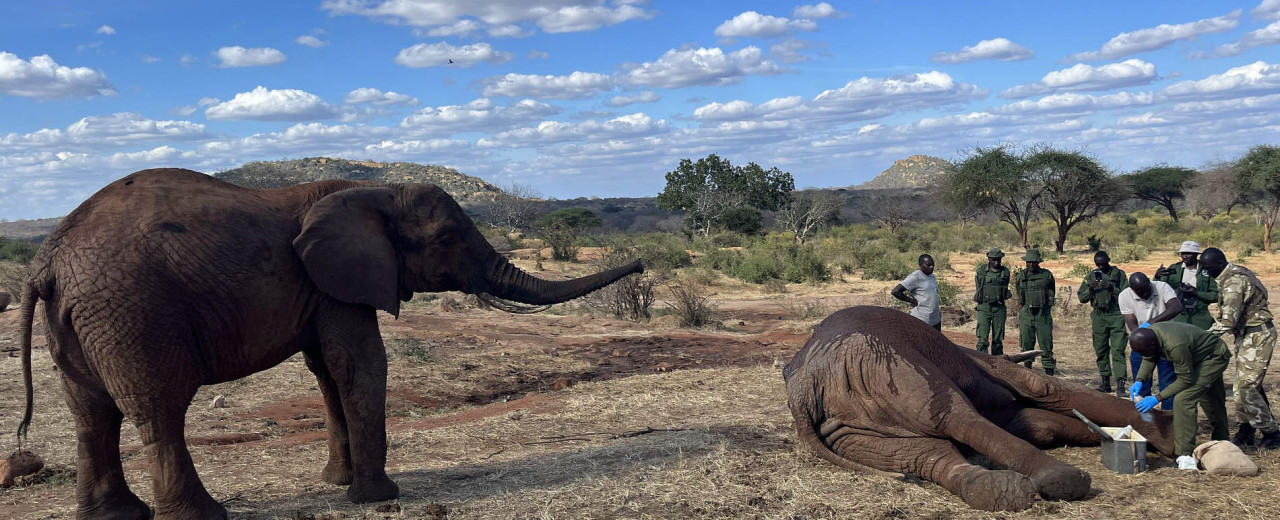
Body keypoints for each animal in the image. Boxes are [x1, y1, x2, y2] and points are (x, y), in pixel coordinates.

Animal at [15, 169, 645, 517]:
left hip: (79, 319)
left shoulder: (323, 287)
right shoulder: (340, 280)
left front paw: (337, 485)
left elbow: (326, 371)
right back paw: (202, 516)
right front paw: (379, 497)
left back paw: (117, 516)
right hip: (133, 312)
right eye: (446, 238)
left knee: (90, 414)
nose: (640, 264)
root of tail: (47, 260)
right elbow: (360, 365)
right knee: (157, 409)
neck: (374, 192)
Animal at [778, 306, 1172, 509]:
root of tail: (804, 386)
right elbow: (1043, 390)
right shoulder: (992, 366)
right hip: (886, 365)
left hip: (847, 423)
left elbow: (1040, 425)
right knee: (955, 417)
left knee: (923, 455)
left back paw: (1000, 493)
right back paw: (1061, 481)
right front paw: (1160, 432)